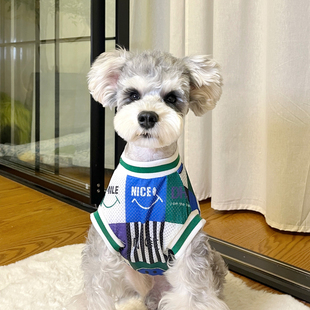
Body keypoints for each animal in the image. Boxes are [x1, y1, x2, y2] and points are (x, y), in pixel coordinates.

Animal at [81, 49, 228, 310]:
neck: (147, 172)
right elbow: (96, 287)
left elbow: (195, 295)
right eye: (133, 94)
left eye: (171, 98)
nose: (147, 117)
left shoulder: (189, 243)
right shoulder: (105, 240)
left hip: (215, 260)